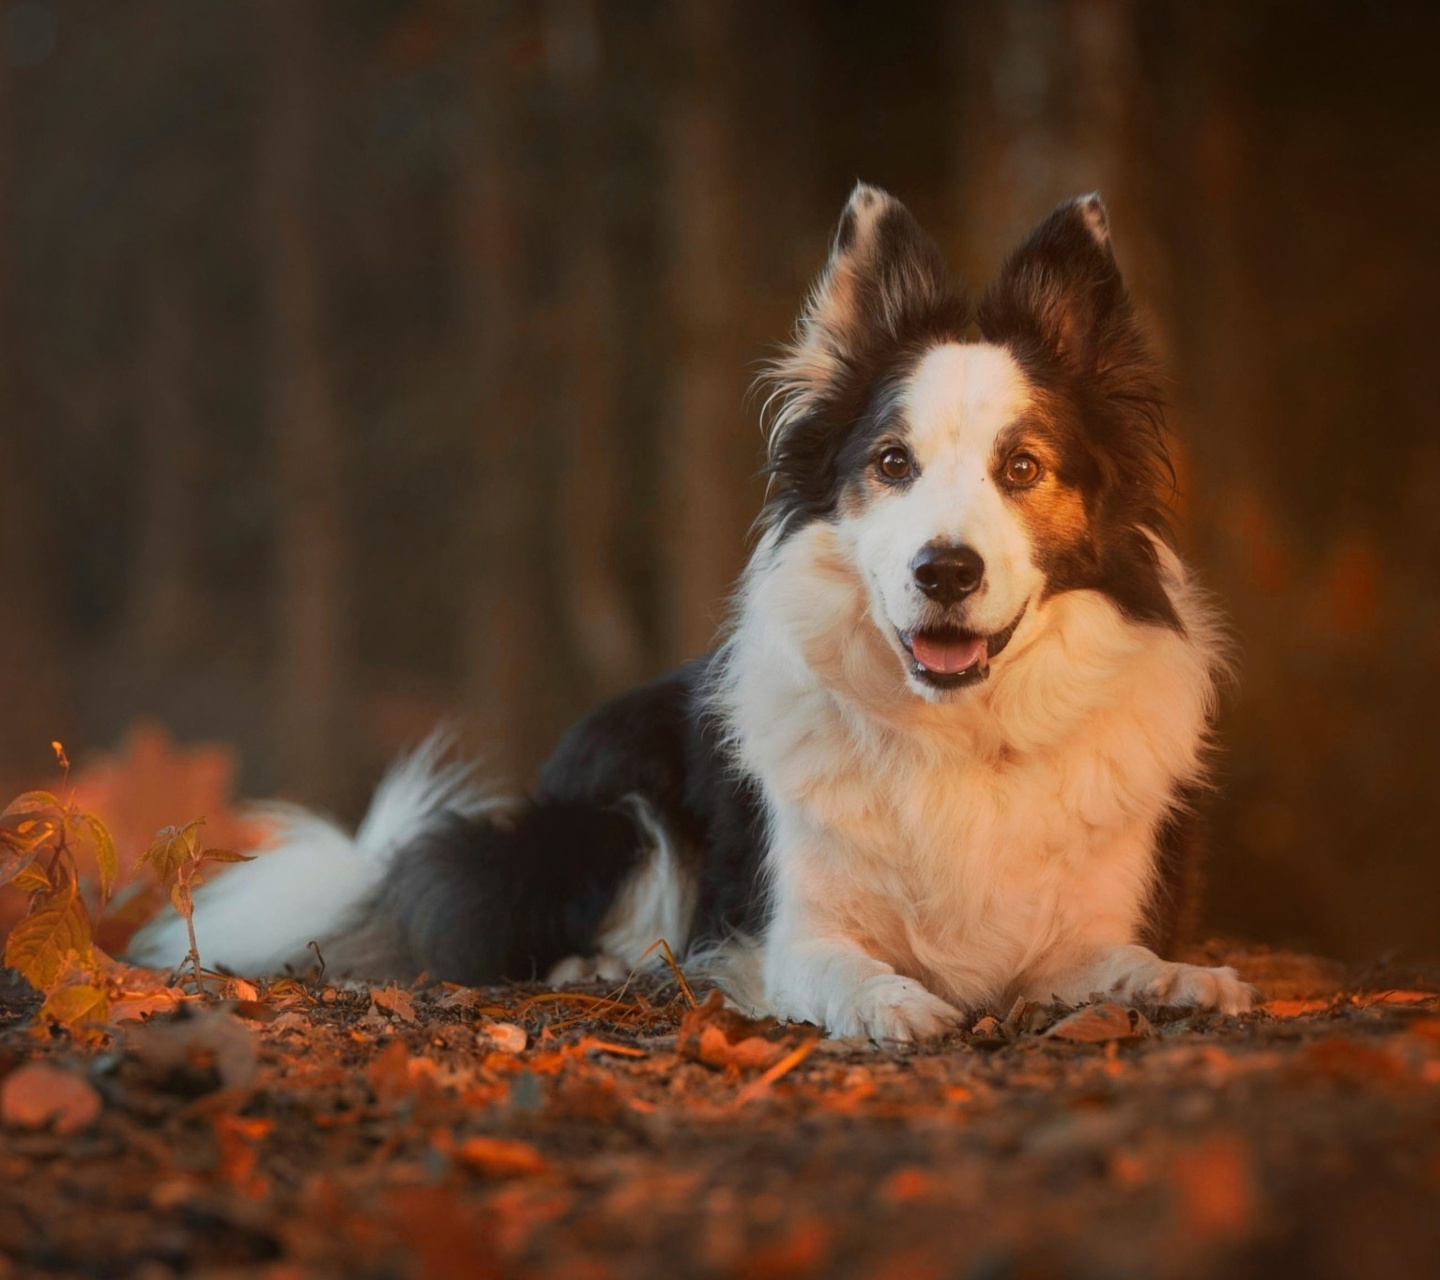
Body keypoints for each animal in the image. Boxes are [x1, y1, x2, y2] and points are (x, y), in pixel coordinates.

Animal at [137, 182, 1261, 1036]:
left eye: (1022, 467)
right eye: (892, 464)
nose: (945, 570)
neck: (957, 732)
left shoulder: (1083, 921)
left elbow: (1114, 957)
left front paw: (1183, 979)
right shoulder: (789, 926)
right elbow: (838, 966)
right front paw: (895, 1002)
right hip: (619, 810)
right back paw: (605, 966)